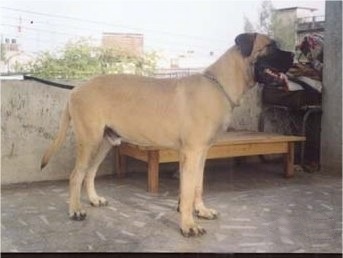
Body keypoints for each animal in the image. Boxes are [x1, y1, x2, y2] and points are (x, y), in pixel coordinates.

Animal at [40, 32, 292, 238]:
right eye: (271, 46)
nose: (293, 55)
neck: (218, 85)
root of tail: (76, 89)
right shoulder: (191, 152)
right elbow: (188, 190)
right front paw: (188, 225)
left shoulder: (202, 153)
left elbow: (197, 185)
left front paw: (200, 211)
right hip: (89, 140)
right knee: (76, 175)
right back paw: (75, 210)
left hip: (105, 141)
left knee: (89, 173)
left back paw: (93, 199)